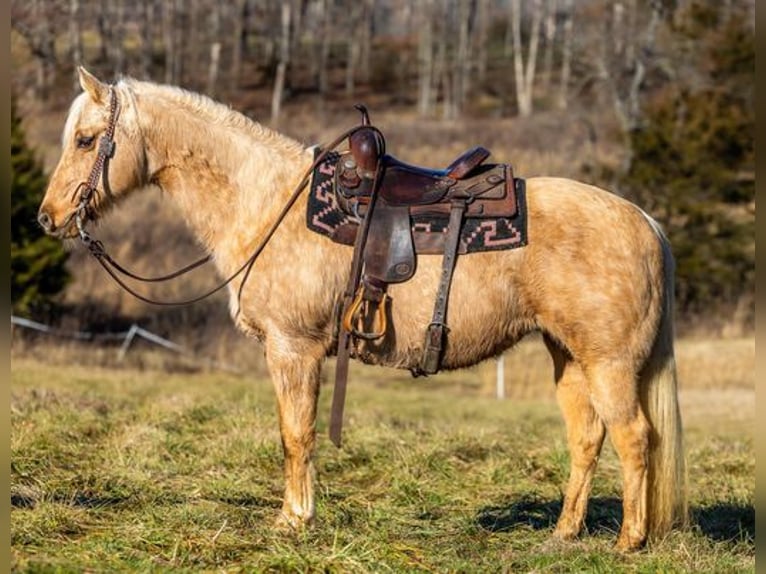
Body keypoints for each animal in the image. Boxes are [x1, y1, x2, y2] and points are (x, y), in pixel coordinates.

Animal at [37, 68, 688, 552]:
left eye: (87, 139)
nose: (49, 217)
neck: (267, 202)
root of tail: (645, 221)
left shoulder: (293, 348)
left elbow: (295, 434)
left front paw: (294, 521)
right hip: (569, 358)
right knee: (587, 438)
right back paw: (563, 533)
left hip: (608, 363)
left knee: (635, 438)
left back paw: (628, 541)